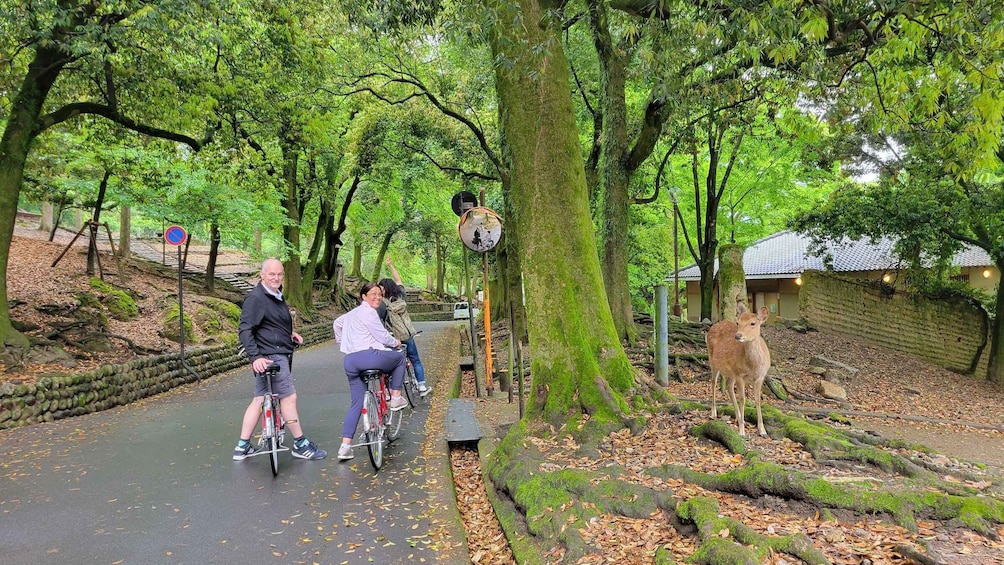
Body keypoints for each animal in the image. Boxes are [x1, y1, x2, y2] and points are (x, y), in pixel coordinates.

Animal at [706, 305, 767, 437]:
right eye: (738, 322)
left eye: (753, 323)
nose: (738, 335)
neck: (753, 366)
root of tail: (715, 325)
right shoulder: (740, 375)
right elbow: (743, 399)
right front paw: (742, 431)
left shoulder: (760, 376)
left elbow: (758, 400)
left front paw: (762, 430)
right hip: (712, 360)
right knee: (713, 382)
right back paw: (714, 412)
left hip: (731, 372)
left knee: (729, 385)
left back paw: (738, 417)